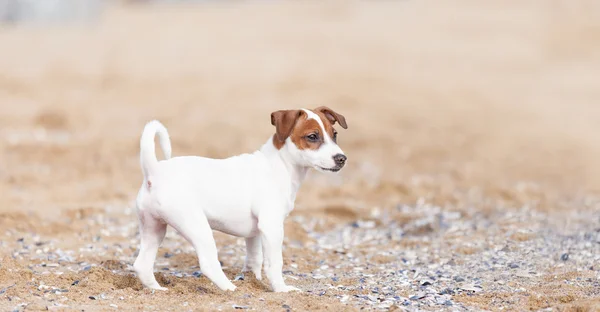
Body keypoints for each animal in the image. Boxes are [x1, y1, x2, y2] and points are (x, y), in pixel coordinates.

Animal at [131, 106, 346, 292]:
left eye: (335, 134)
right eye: (312, 136)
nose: (341, 158)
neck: (279, 165)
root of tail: (154, 171)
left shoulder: (256, 233)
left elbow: (254, 260)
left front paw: (252, 281)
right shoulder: (272, 227)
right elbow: (274, 263)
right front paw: (281, 289)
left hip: (153, 229)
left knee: (142, 264)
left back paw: (158, 289)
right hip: (197, 227)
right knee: (208, 264)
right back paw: (231, 289)